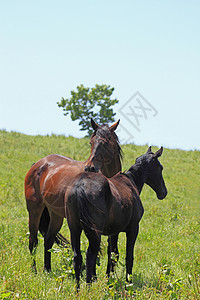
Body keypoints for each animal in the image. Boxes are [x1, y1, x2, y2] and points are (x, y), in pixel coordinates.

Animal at [24, 118, 122, 274]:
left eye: (106, 142)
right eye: (91, 142)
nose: (90, 167)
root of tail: (38, 164)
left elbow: (112, 251)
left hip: (56, 215)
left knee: (48, 240)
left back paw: (47, 270)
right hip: (34, 211)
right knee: (33, 241)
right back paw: (34, 271)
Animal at [65, 146, 167, 288]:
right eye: (160, 167)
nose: (164, 192)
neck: (131, 183)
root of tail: (80, 185)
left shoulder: (113, 232)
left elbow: (113, 255)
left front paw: (109, 280)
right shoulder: (133, 229)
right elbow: (128, 257)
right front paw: (128, 283)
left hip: (74, 228)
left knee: (77, 257)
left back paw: (78, 289)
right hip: (93, 232)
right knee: (90, 255)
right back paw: (89, 287)